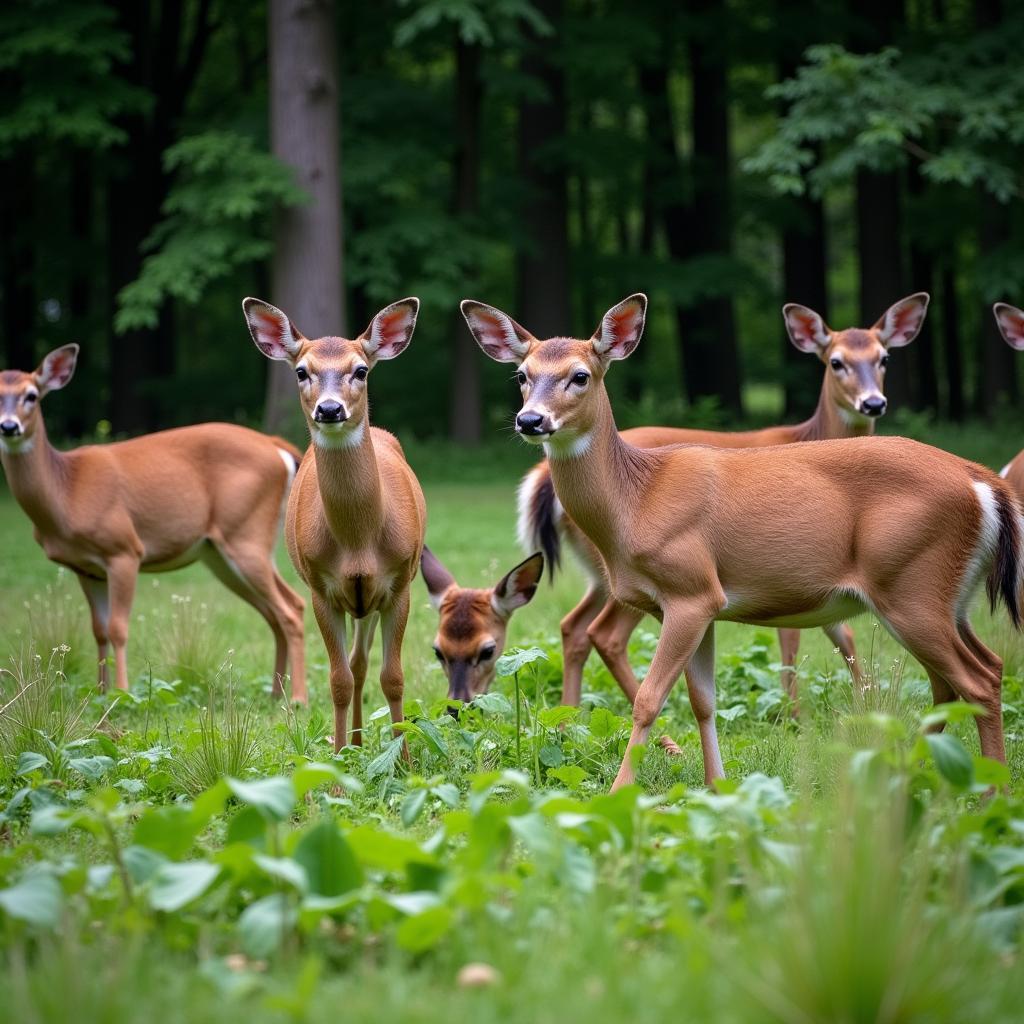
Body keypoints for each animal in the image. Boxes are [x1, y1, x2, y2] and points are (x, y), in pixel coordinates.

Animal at [0, 344, 305, 696]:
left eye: (31, 395)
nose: (8, 427)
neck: (66, 493)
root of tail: (277, 446)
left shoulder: (124, 549)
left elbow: (118, 628)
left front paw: (121, 692)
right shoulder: (85, 568)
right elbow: (98, 630)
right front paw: (100, 692)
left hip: (246, 534)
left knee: (291, 609)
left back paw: (298, 698)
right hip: (220, 553)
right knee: (276, 612)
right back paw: (276, 694)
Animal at [243, 294, 423, 753]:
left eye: (360, 370)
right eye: (301, 371)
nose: (329, 408)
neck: (358, 540)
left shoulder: (399, 582)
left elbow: (393, 678)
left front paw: (405, 757)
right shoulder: (321, 587)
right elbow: (338, 680)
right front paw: (339, 757)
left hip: (371, 599)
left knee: (363, 663)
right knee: (354, 667)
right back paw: (355, 742)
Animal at [516, 294, 933, 712]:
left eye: (884, 358)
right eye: (836, 361)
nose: (873, 403)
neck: (810, 435)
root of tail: (543, 479)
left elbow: (840, 631)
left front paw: (867, 703)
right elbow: (796, 639)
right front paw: (794, 713)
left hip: (598, 571)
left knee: (574, 626)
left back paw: (570, 714)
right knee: (604, 633)